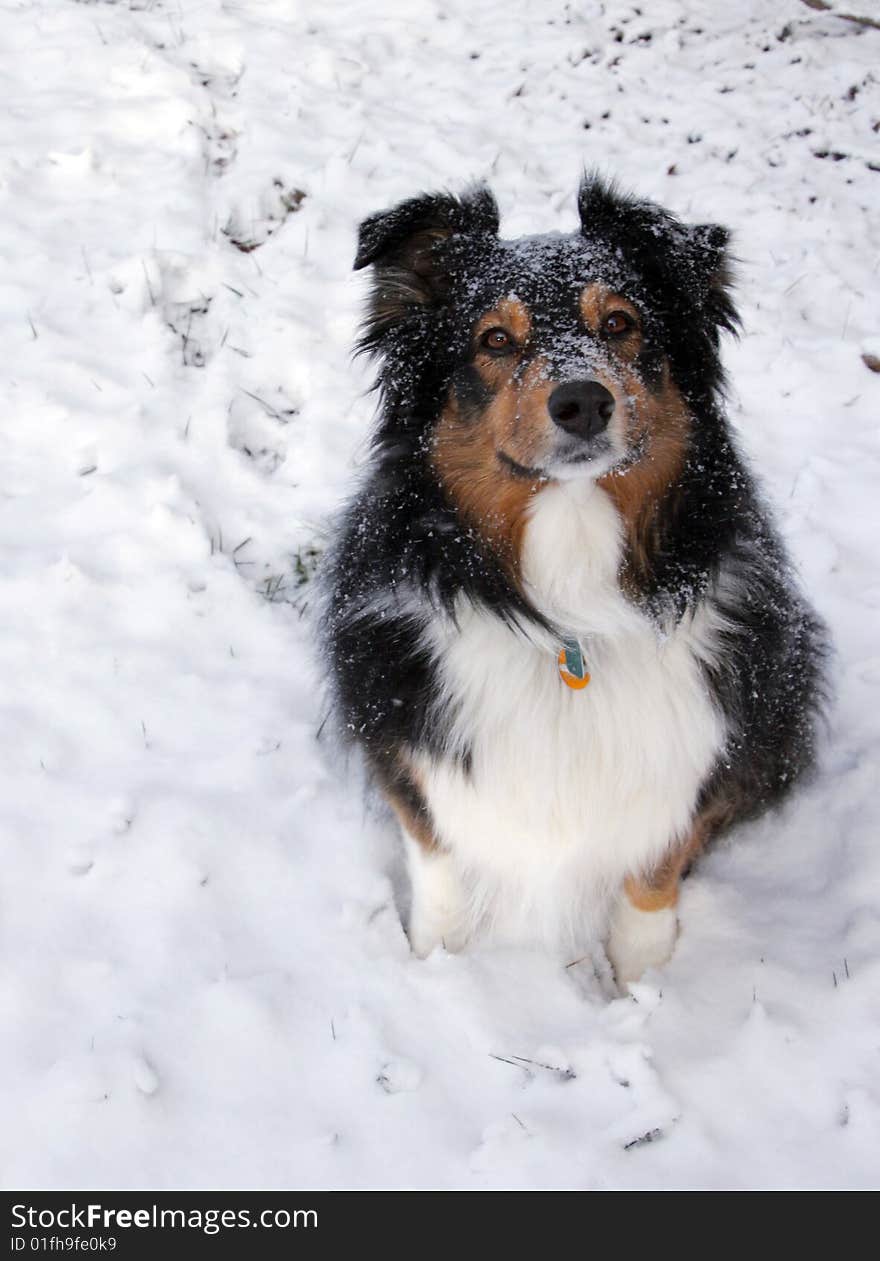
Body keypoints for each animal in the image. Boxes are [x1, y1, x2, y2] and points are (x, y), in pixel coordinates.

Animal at [318, 175, 827, 983]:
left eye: (619, 323)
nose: (583, 401)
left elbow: (653, 876)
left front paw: (641, 982)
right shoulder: (408, 737)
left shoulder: (695, 757)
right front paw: (436, 962)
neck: (570, 605)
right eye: (495, 339)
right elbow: (438, 860)